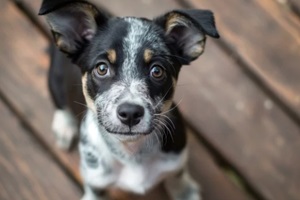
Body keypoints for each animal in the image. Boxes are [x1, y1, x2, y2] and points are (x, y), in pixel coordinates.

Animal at [38, 0, 219, 199]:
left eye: (157, 70)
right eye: (102, 68)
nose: (130, 113)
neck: (133, 153)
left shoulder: (176, 158)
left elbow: (177, 174)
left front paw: (184, 191)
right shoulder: (96, 182)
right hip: (54, 78)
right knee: (60, 103)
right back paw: (64, 127)